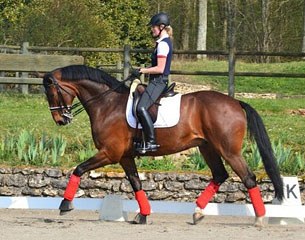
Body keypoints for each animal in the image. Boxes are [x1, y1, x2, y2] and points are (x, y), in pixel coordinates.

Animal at [41, 64, 282, 226]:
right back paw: (197, 213)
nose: (60, 120)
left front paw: (64, 205)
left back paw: (259, 219)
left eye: (51, 92)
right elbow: (136, 183)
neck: (107, 103)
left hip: (229, 150)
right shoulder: (124, 157)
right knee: (220, 175)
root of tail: (235, 102)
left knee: (248, 178)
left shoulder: (110, 153)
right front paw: (143, 215)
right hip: (207, 147)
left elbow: (79, 169)